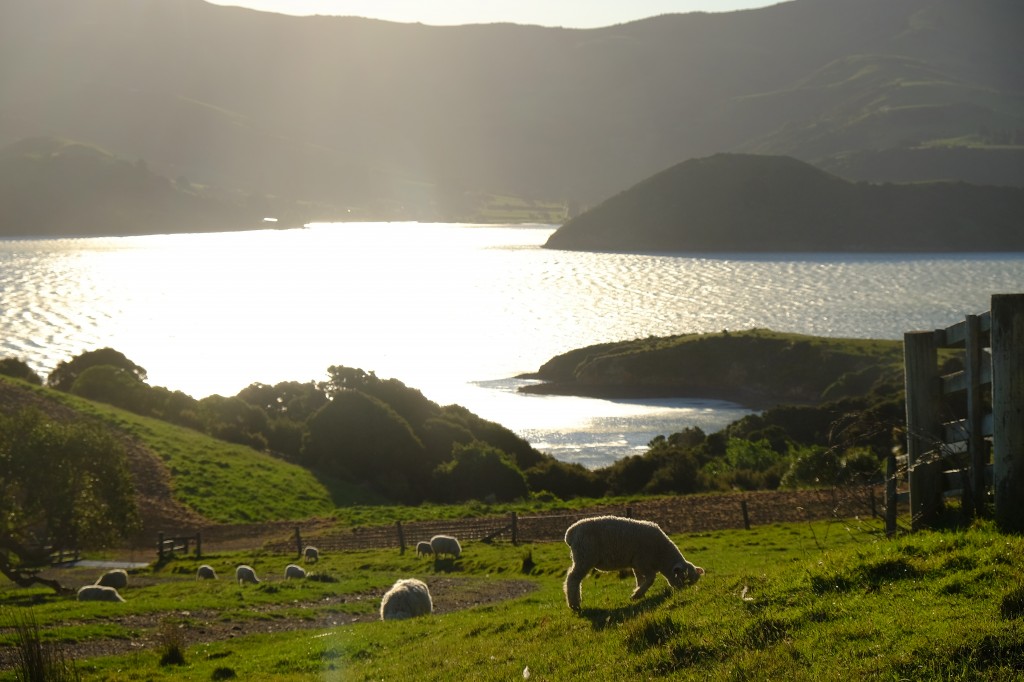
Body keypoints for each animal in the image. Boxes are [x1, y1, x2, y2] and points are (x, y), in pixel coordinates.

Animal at [561, 512, 704, 606]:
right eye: (684, 579)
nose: (682, 592)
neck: (661, 555)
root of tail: (571, 532)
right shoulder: (643, 562)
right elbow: (651, 579)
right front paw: (637, 595)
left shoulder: (636, 564)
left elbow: (639, 579)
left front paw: (639, 592)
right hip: (584, 557)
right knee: (572, 578)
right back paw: (574, 604)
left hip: (582, 557)